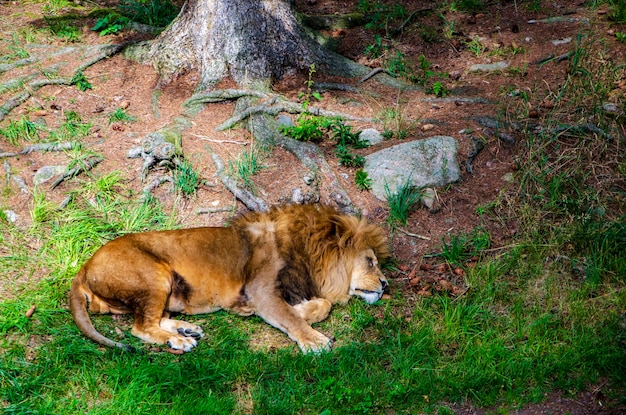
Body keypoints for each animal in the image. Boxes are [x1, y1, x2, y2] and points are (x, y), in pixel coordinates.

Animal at [69, 205, 390, 354]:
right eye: (370, 262)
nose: (386, 284)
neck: (306, 253)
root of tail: (84, 267)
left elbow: (322, 304)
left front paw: (304, 310)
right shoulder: (260, 289)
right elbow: (293, 316)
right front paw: (313, 339)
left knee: (154, 318)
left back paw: (186, 328)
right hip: (155, 274)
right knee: (141, 327)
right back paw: (180, 340)